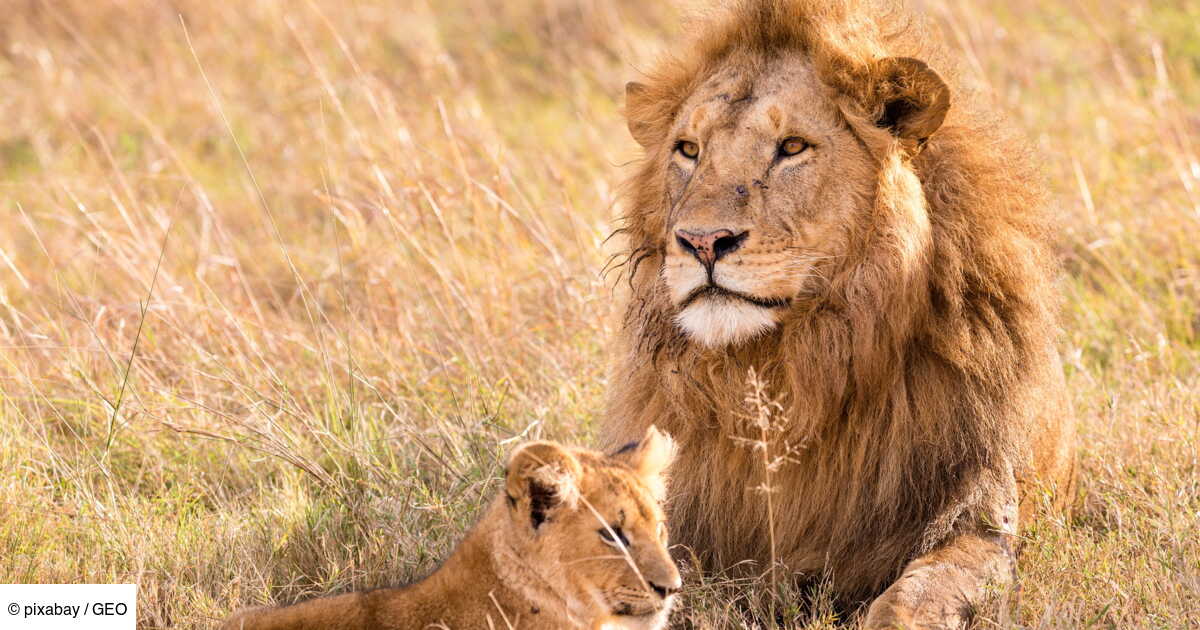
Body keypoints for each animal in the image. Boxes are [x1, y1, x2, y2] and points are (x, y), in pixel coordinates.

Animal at [602, 1, 1076, 627]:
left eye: (792, 147)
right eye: (688, 150)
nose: (702, 241)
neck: (786, 370)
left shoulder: (977, 516)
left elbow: (911, 598)